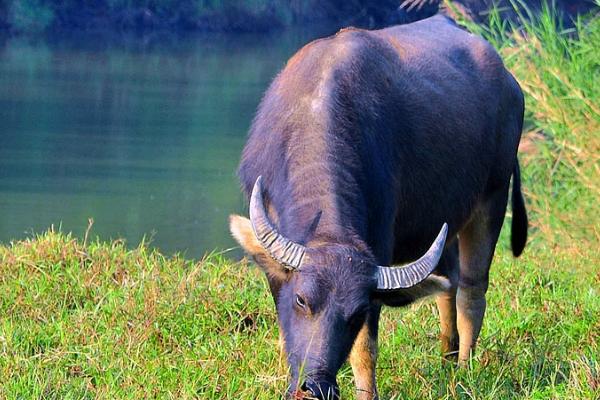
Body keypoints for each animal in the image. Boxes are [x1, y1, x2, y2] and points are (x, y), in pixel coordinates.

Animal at [229, 14, 524, 398]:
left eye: (355, 314)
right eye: (302, 301)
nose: (315, 386)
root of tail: (510, 83)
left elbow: (365, 350)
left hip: (494, 195)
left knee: (472, 288)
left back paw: (464, 370)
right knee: (449, 280)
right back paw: (447, 356)